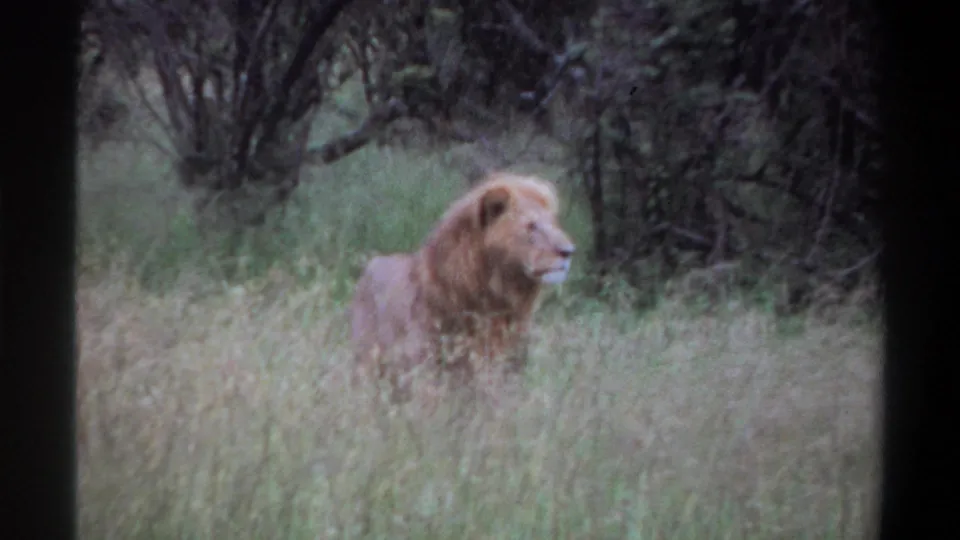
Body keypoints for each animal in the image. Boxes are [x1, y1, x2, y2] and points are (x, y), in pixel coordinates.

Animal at [349, 172, 576, 401]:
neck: (499, 299)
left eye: (554, 223)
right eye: (531, 226)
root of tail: (369, 268)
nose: (569, 251)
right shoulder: (426, 373)